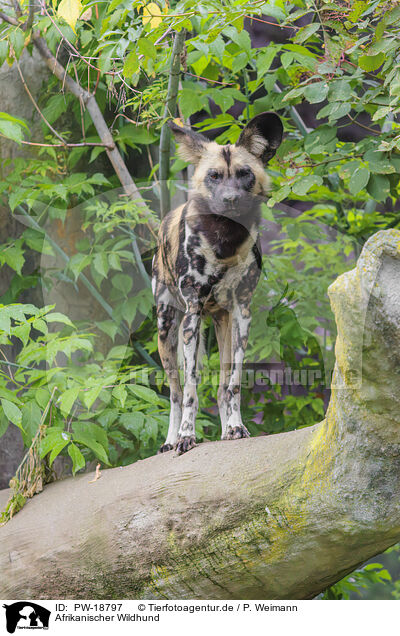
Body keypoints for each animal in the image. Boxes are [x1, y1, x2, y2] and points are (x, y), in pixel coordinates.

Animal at [152, 112, 282, 454]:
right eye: (213, 176)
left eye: (244, 174)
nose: (231, 199)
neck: (225, 239)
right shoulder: (192, 313)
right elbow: (190, 390)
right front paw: (186, 436)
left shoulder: (242, 312)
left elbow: (231, 383)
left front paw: (235, 426)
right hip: (168, 328)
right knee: (175, 392)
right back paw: (170, 440)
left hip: (222, 323)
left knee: (223, 383)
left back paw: (227, 429)